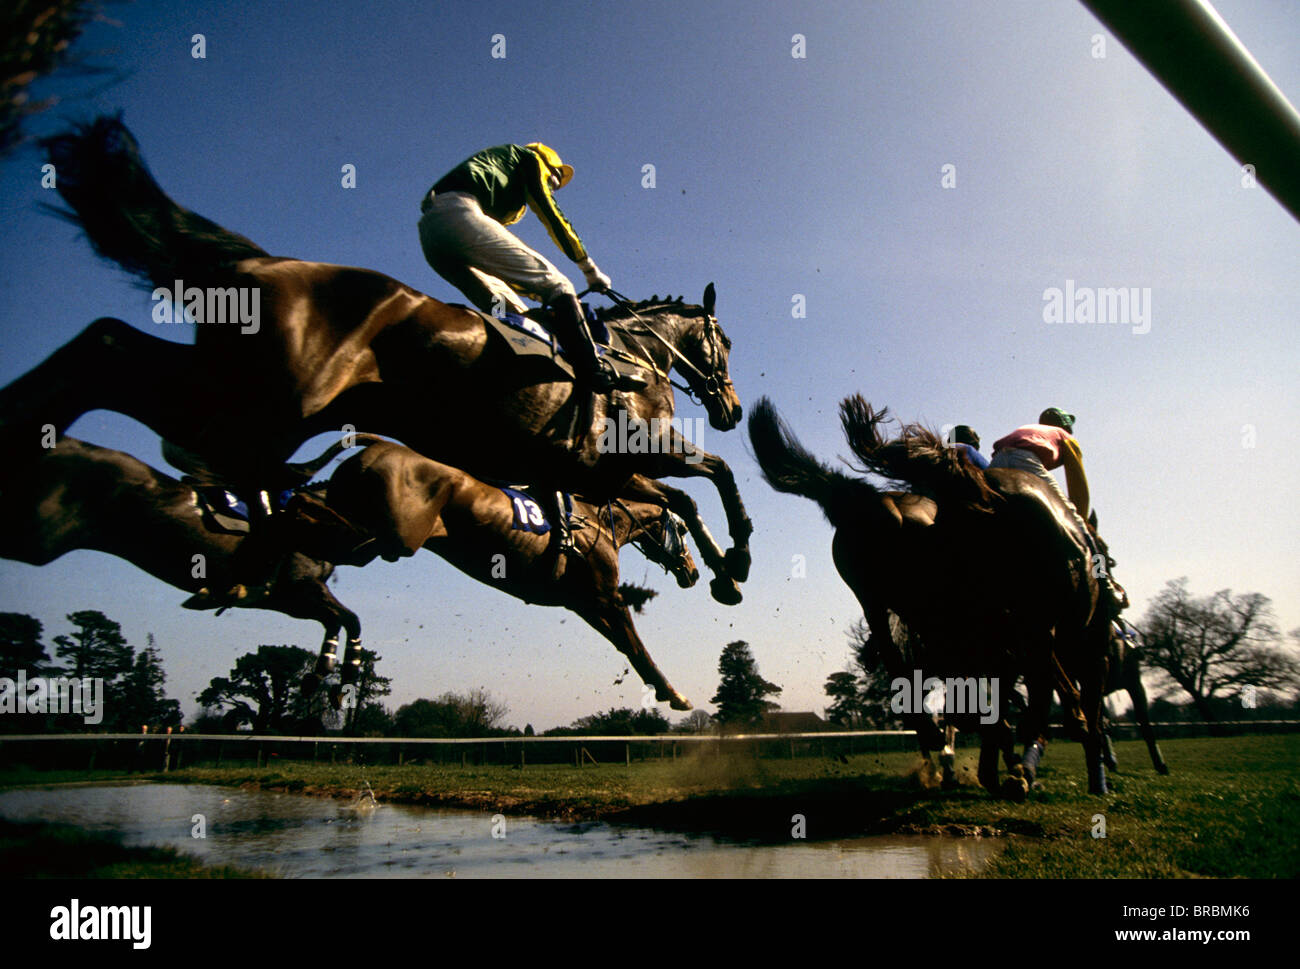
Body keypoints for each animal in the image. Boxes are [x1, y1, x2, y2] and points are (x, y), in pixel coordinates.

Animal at [0, 113, 754, 598]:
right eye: (725, 344)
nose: (732, 410)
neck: (635, 355)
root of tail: (259, 262)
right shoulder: (624, 455)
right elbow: (707, 481)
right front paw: (738, 558)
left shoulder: (593, 470)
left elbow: (684, 499)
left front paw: (721, 569)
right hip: (264, 404)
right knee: (123, 369)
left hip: (233, 390)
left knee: (104, 344)